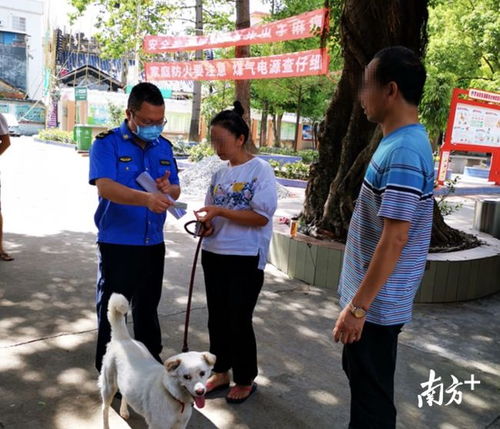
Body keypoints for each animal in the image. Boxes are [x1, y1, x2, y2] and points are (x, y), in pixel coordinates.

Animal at [98, 290, 216, 428]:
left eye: (202, 373)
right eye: (186, 377)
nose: (200, 391)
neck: (174, 396)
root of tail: (123, 338)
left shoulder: (181, 425)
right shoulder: (158, 426)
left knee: (124, 394)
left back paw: (124, 410)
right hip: (109, 387)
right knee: (104, 409)